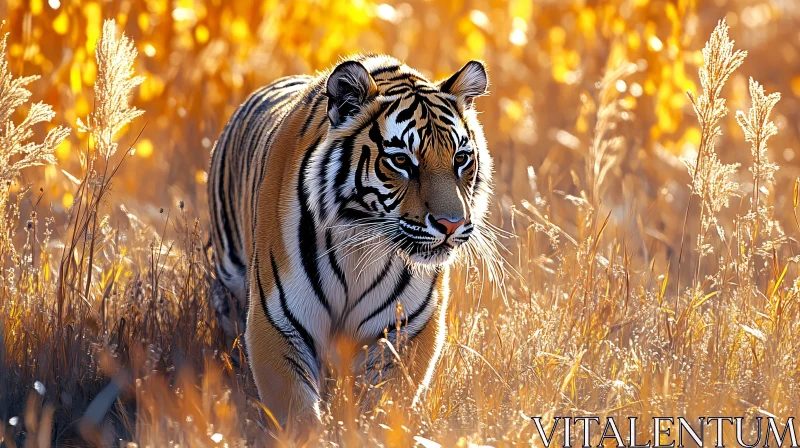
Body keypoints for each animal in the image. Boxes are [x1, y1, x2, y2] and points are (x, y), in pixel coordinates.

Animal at [206, 54, 494, 428]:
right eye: (401, 160)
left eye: (461, 159)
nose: (451, 224)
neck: (361, 246)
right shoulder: (277, 322)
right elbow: (297, 415)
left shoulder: (406, 329)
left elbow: (385, 408)